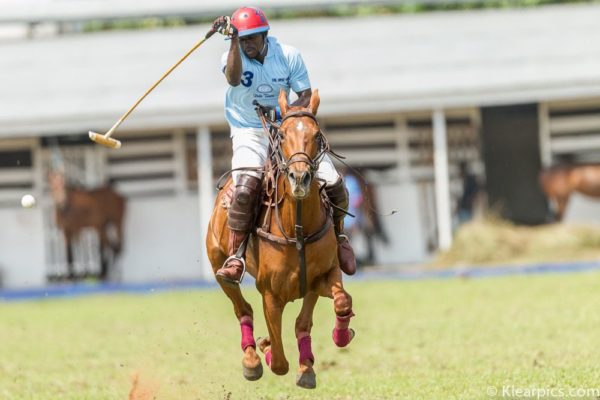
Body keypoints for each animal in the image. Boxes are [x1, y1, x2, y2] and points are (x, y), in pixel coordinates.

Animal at [207, 90, 356, 388]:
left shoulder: (320, 278)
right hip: (218, 265)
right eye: (284, 135)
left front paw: (332, 344)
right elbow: (278, 361)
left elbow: (333, 306)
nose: (300, 177)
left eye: (317, 134)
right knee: (242, 307)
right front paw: (266, 348)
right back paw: (252, 359)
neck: (297, 228)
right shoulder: (271, 294)